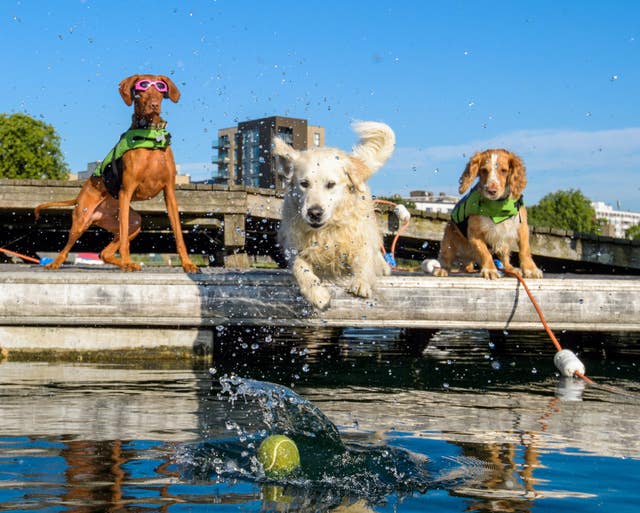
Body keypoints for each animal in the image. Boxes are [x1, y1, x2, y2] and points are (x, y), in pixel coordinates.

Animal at [35, 75, 198, 272]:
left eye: (160, 89)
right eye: (142, 89)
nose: (154, 104)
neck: (150, 136)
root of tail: (79, 196)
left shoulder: (169, 193)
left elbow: (179, 234)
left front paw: (187, 263)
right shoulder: (126, 191)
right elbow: (124, 239)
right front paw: (127, 261)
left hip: (135, 222)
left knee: (104, 253)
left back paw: (126, 263)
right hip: (82, 220)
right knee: (67, 248)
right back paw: (56, 263)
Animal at [274, 122, 396, 310]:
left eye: (330, 184)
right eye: (304, 183)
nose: (314, 213)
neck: (327, 229)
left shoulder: (360, 235)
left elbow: (365, 257)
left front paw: (361, 282)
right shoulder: (293, 244)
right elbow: (299, 266)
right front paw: (317, 294)